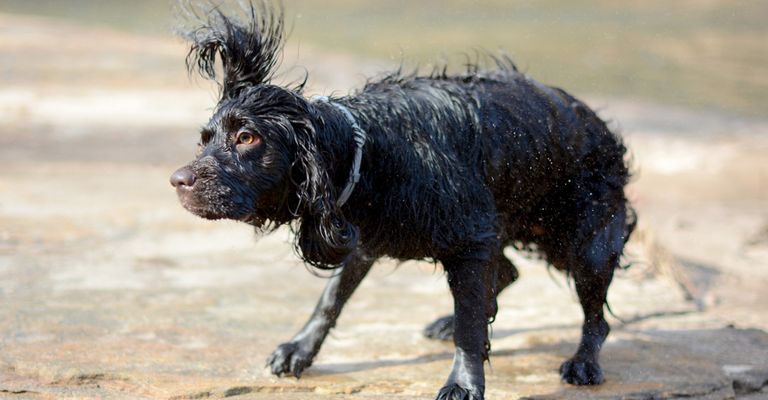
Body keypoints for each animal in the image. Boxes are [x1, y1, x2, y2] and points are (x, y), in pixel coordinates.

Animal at [171, 3, 632, 400]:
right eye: (204, 140)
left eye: (247, 137)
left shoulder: (470, 238)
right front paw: (300, 349)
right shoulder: (362, 235)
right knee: (509, 271)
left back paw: (584, 363)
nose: (177, 181)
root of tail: (595, 120)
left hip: (584, 242)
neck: (373, 154)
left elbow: (469, 327)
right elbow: (330, 301)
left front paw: (464, 383)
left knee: (595, 316)